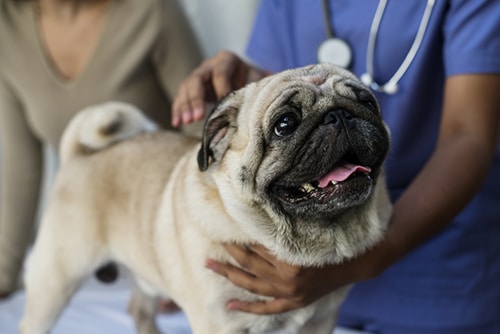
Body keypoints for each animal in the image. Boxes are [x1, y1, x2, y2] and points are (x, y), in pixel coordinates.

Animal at [21, 63, 392, 334]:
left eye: (367, 103)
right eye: (285, 124)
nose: (339, 115)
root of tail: (78, 155)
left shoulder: (320, 321)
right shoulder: (220, 324)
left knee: (138, 308)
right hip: (55, 280)